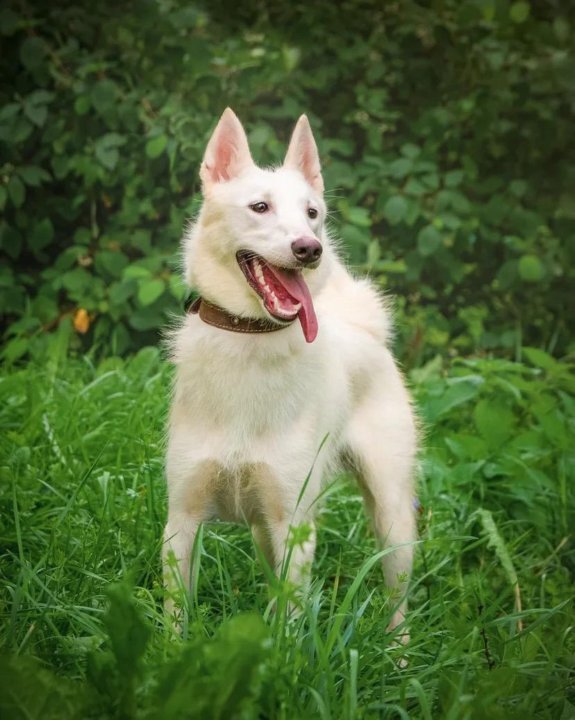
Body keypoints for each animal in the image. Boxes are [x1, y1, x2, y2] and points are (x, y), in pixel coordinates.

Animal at [164, 108, 417, 634]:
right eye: (259, 207)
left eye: (312, 213)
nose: (310, 248)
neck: (249, 337)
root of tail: (365, 329)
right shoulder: (182, 519)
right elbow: (175, 613)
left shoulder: (294, 527)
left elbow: (289, 622)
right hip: (264, 531)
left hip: (393, 518)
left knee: (398, 600)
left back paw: (399, 651)